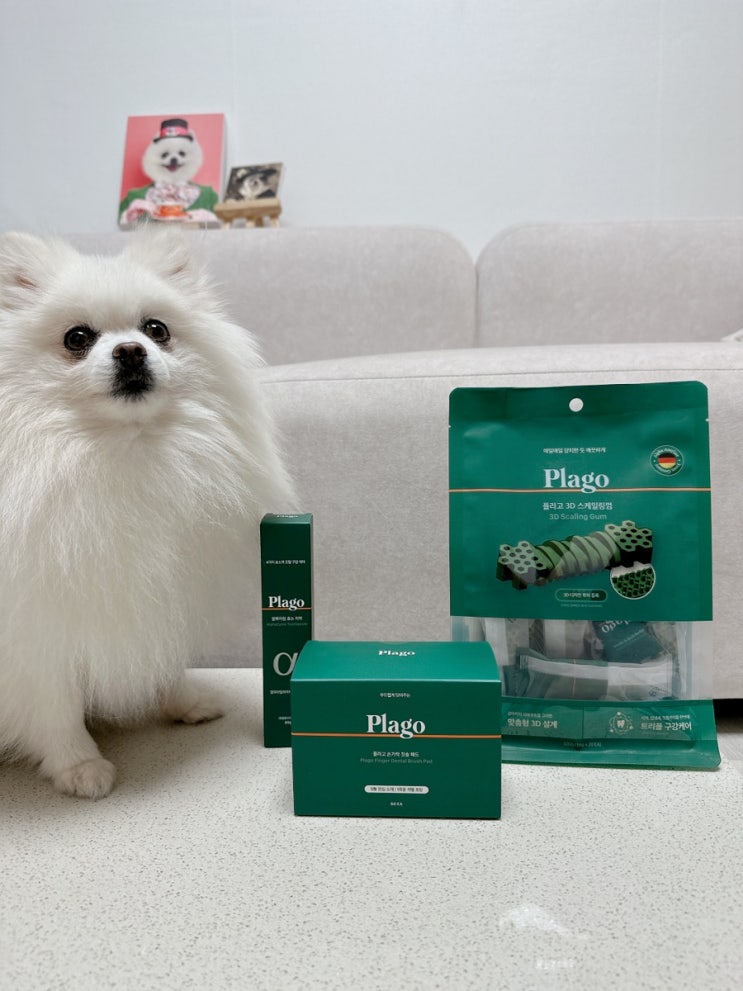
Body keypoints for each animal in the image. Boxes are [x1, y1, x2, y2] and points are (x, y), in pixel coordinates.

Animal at [0, 231, 294, 798]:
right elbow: (54, 703)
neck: (123, 452)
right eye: (77, 337)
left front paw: (183, 701)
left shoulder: (158, 595)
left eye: (156, 329)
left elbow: (163, 658)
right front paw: (78, 765)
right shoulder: (37, 622)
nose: (132, 350)